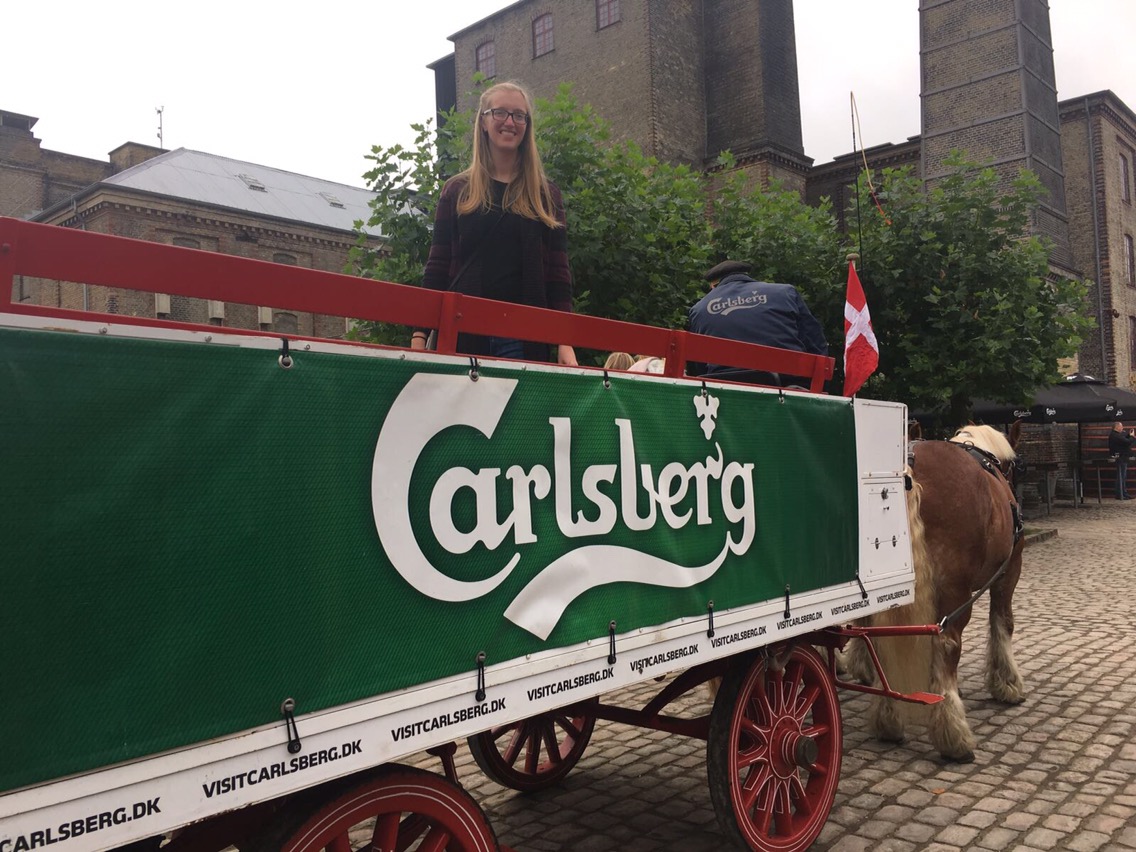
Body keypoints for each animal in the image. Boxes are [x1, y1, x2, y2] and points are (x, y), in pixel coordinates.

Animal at [848, 423, 1026, 762]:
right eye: (1014, 467)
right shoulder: (1008, 571)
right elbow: (1003, 623)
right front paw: (1007, 683)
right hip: (954, 591)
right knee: (946, 645)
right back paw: (953, 733)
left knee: (878, 638)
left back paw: (888, 719)